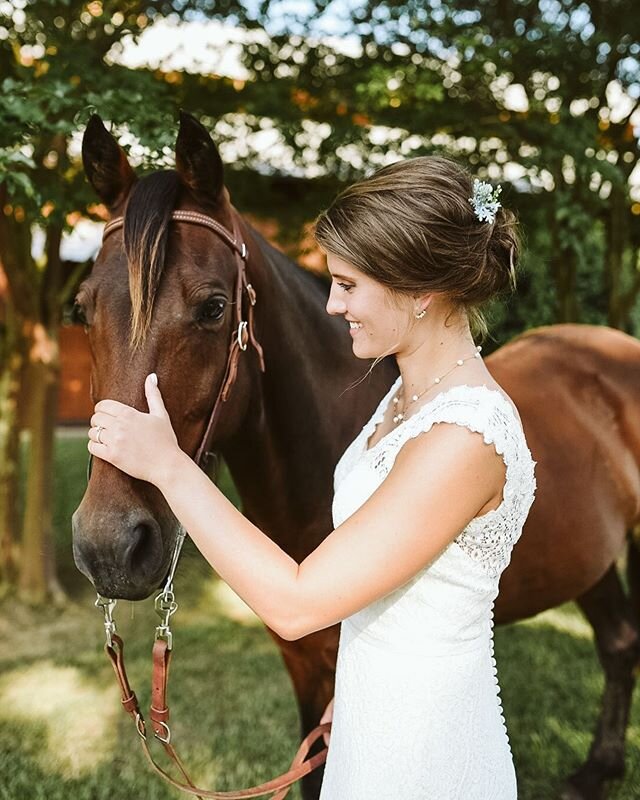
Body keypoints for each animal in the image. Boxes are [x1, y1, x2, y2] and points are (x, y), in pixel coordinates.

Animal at [71, 112, 640, 800]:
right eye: (81, 309)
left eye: (213, 307)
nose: (108, 546)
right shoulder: (305, 665)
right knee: (619, 641)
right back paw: (599, 768)